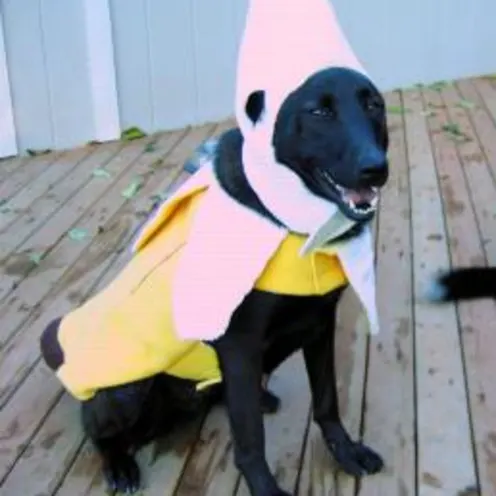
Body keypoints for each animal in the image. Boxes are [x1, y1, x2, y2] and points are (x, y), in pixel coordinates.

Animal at [39, 67, 388, 496]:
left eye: (374, 105)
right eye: (319, 111)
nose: (376, 168)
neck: (293, 222)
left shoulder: (319, 323)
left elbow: (327, 401)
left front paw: (346, 451)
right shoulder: (239, 344)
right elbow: (251, 439)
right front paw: (266, 488)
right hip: (124, 390)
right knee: (96, 431)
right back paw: (119, 463)